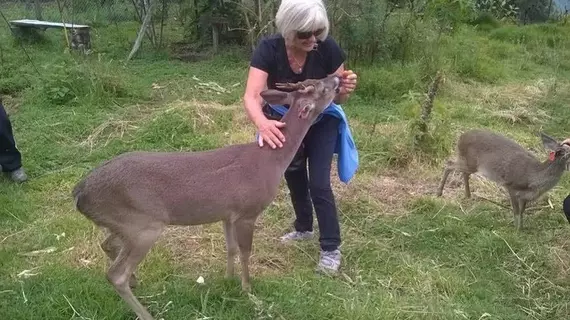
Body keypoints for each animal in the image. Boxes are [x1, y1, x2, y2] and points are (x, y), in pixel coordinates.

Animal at [69, 74, 340, 318]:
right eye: (321, 88)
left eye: (317, 80)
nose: (337, 79)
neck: (270, 161)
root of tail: (80, 192)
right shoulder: (247, 211)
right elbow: (245, 251)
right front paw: (248, 289)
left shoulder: (227, 214)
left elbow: (230, 248)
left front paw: (228, 279)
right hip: (143, 224)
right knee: (116, 274)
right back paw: (146, 312)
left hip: (126, 223)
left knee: (107, 245)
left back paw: (136, 281)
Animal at [434, 129, 568, 231]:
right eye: (564, 152)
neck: (533, 178)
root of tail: (461, 137)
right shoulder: (511, 186)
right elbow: (516, 211)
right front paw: (516, 230)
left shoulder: (525, 197)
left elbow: (522, 211)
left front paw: (522, 228)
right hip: (470, 162)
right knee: (449, 164)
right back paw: (439, 192)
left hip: (469, 163)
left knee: (464, 172)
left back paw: (467, 195)